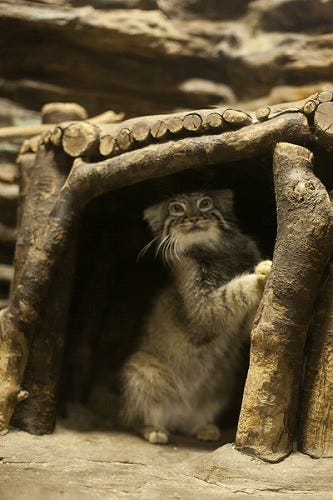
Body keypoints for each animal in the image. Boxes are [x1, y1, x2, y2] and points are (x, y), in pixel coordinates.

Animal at [120, 189, 272, 444]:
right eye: (176, 208)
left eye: (205, 203)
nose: (192, 218)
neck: (214, 251)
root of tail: (180, 416)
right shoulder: (202, 308)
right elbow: (233, 292)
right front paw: (258, 276)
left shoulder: (243, 326)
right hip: (142, 374)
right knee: (137, 419)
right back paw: (154, 430)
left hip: (220, 386)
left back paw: (203, 428)